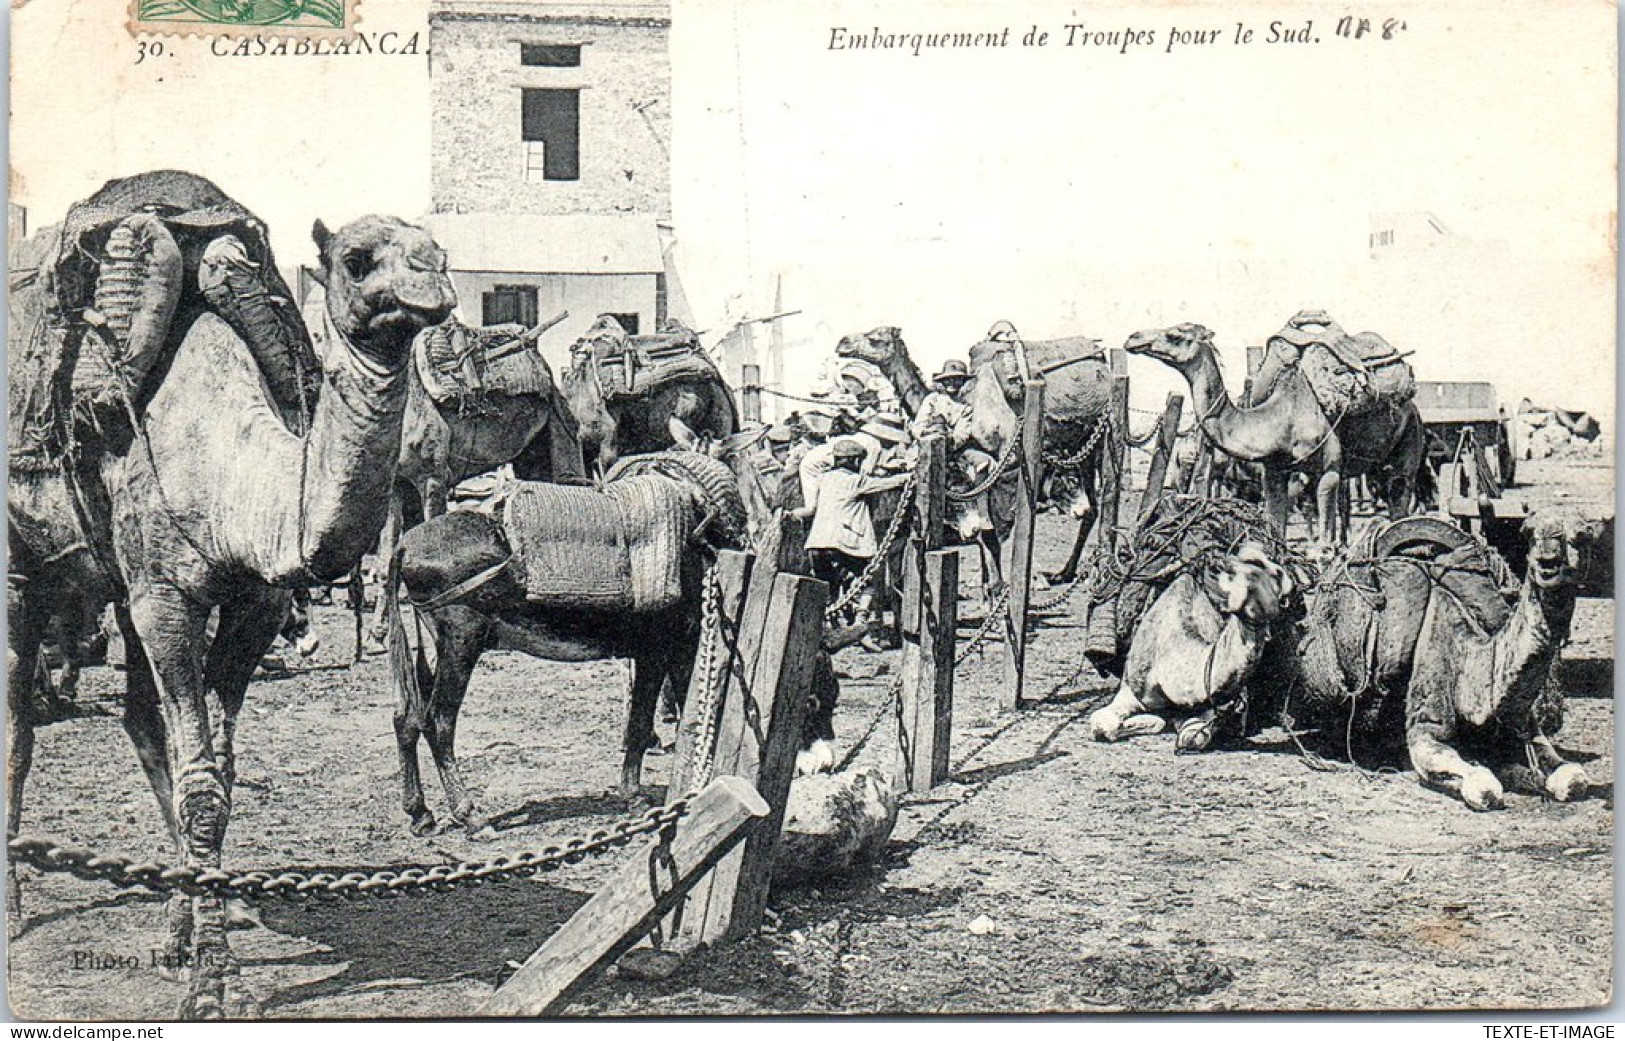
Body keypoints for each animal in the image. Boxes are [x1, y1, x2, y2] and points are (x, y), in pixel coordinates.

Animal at [7, 172, 458, 1013]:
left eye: (435, 246)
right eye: (356, 258)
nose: (435, 282)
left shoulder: (251, 602)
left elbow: (219, 768)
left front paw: (198, 941)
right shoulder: (165, 600)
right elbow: (202, 785)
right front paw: (214, 986)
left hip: (113, 583)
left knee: (140, 722)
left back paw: (176, 915)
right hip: (27, 573)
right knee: (19, 724)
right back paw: (17, 902)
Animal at [383, 451, 838, 831]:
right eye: (813, 700)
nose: (825, 766)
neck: (707, 554)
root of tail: (405, 543)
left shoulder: (680, 651)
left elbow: (686, 714)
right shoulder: (658, 652)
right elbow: (642, 721)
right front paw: (634, 797)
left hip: (435, 645)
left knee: (408, 718)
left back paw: (420, 814)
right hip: (463, 641)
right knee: (439, 721)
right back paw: (468, 813)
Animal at [1124, 323, 1430, 545]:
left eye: (1174, 335)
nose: (1133, 338)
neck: (1282, 417)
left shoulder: (1329, 470)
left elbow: (1324, 547)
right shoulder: (1273, 472)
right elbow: (1276, 532)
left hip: (1409, 440)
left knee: (1399, 499)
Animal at [1287, 506, 1592, 808]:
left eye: (1581, 536)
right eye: (1528, 533)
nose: (1547, 562)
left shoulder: (1524, 723)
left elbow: (1574, 777)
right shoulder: (1426, 723)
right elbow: (1483, 785)